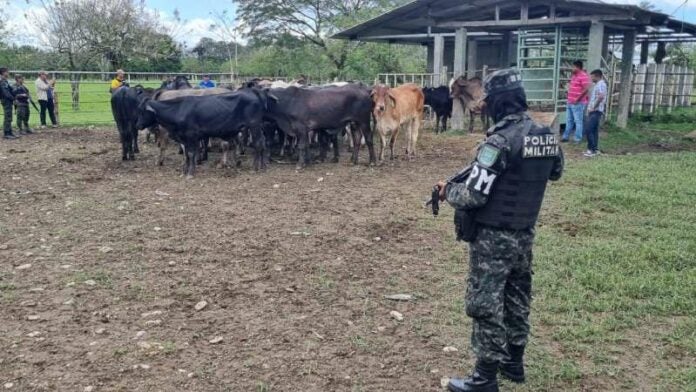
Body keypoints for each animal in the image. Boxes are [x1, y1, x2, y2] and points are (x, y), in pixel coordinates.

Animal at [135, 89, 270, 177]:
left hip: (254, 125)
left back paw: (255, 167)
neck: (178, 109)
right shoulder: (185, 138)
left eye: (142, 111)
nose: (138, 125)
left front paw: (190, 173)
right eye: (139, 109)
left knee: (257, 144)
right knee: (262, 142)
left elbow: (190, 154)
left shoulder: (190, 136)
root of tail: (252, 92)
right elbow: (188, 154)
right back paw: (262, 165)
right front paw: (186, 170)